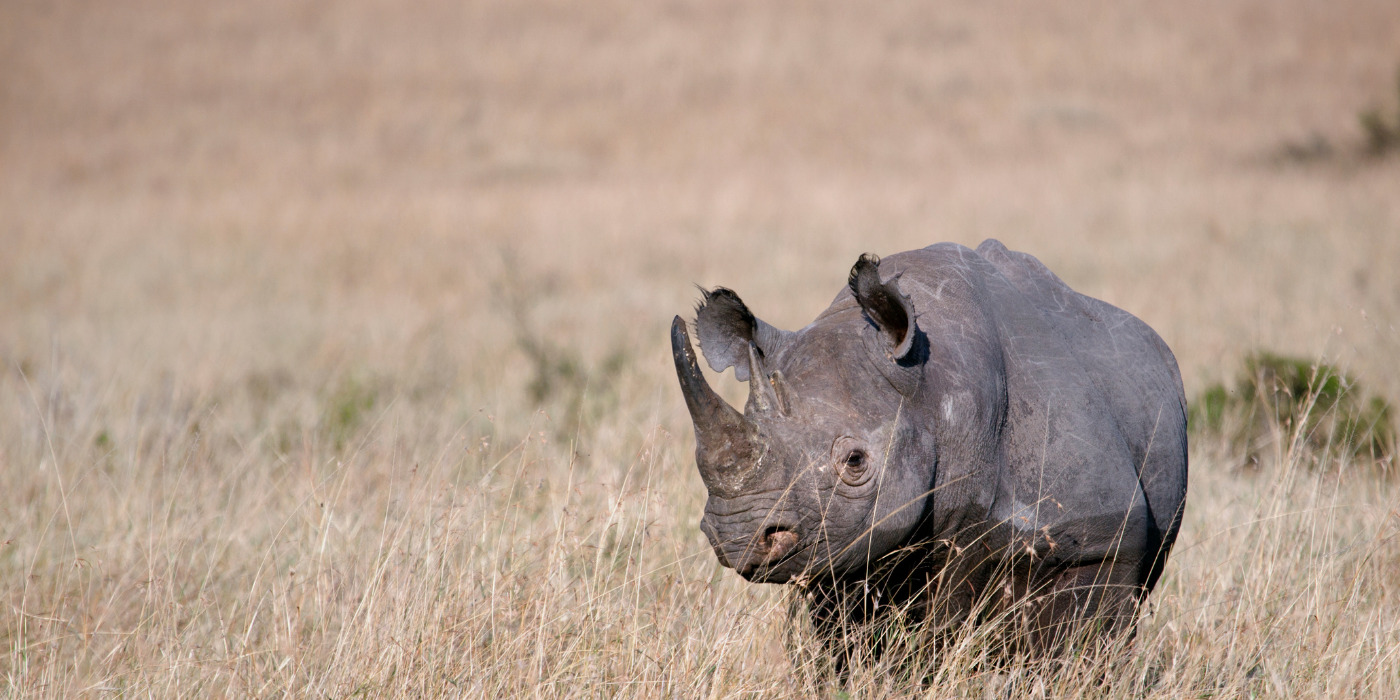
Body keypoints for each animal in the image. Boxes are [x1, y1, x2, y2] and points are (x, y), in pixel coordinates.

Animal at [671, 240, 1187, 657]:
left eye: (855, 462)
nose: (736, 536)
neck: (934, 390)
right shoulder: (842, 555)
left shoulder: (1099, 533)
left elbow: (1081, 649)